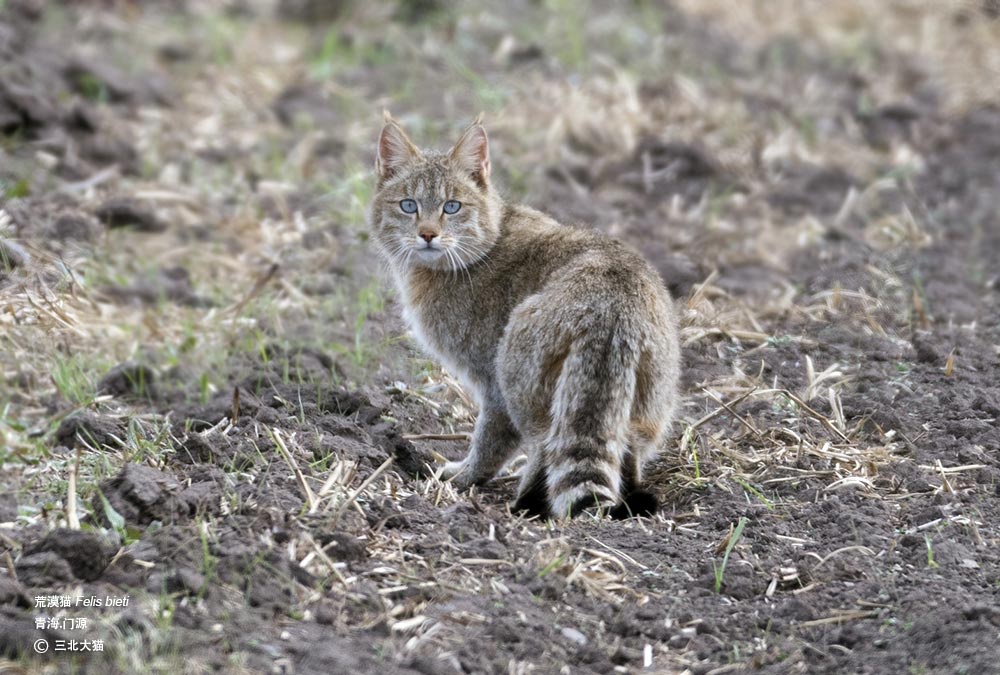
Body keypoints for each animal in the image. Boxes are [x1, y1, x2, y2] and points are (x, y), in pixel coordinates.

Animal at [372, 113, 684, 520]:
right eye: (408, 205)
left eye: (452, 207)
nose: (427, 234)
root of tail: (609, 310)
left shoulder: (492, 385)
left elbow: (489, 440)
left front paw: (464, 477)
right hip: (649, 402)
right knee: (623, 449)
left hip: (519, 374)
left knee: (543, 443)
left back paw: (526, 503)